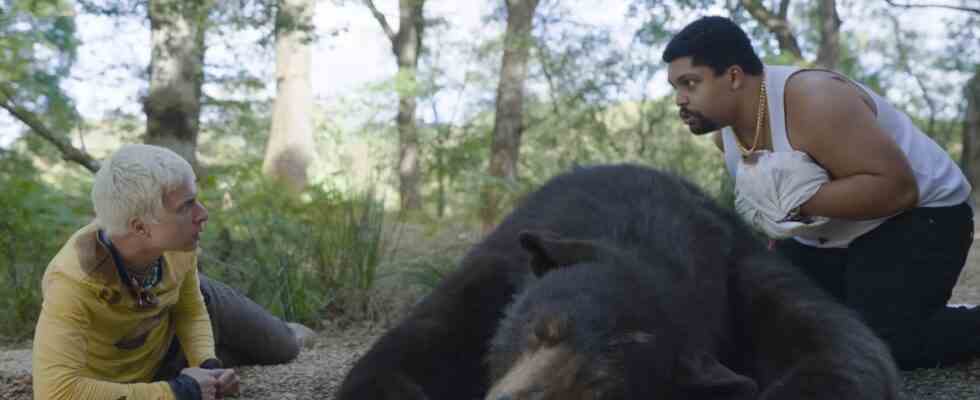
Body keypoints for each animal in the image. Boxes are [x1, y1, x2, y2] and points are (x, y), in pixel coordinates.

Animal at [338, 163, 904, 400]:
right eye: (540, 331)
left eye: (600, 389)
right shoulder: (495, 275)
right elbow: (408, 351)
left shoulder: (740, 273)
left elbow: (843, 347)